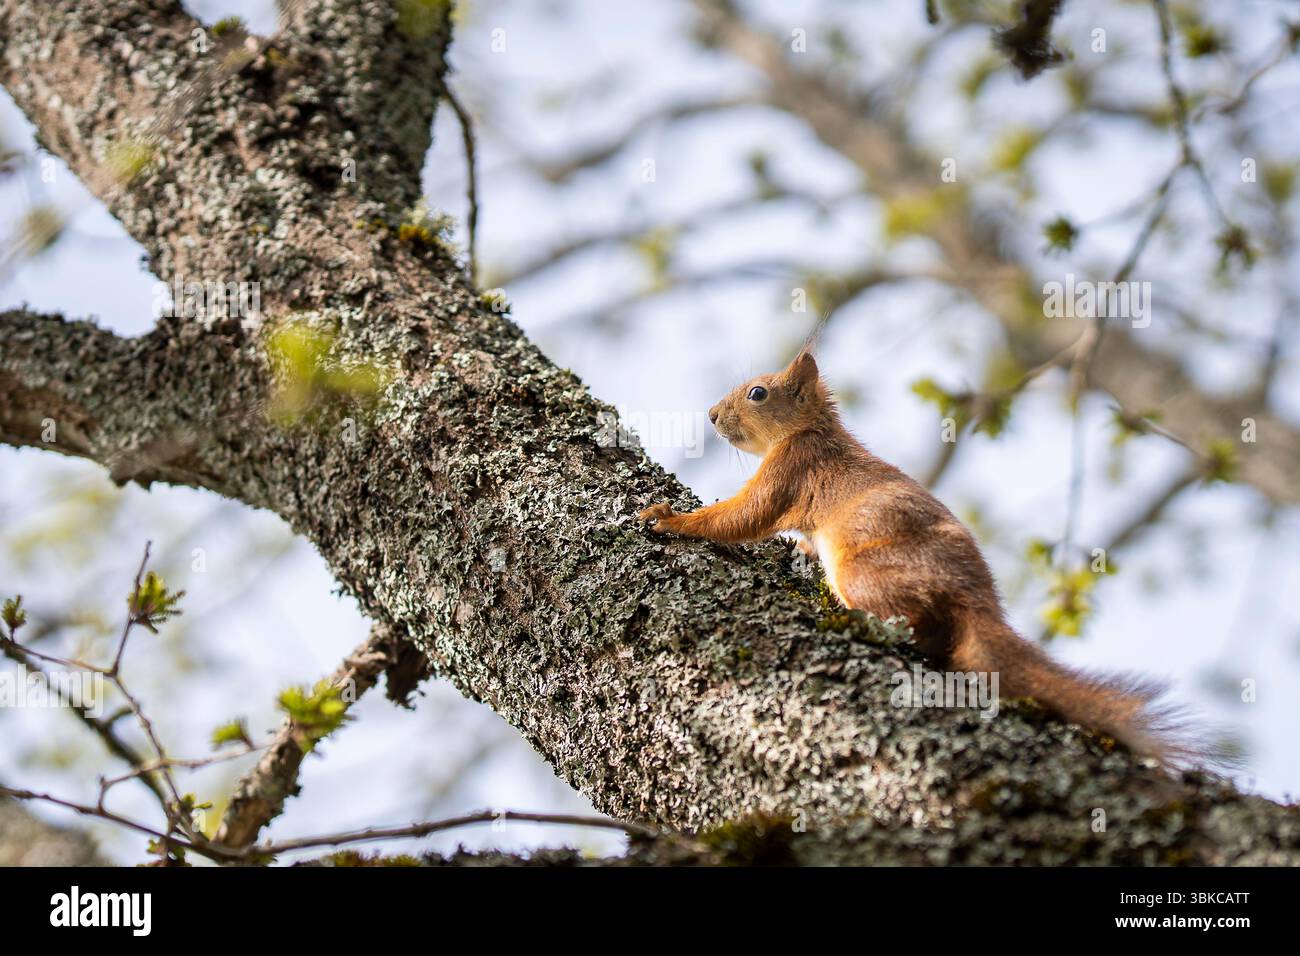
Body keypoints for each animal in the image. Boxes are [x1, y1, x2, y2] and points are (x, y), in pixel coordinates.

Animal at [640, 347, 1201, 767]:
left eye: (758, 392)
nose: (712, 415)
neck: (809, 430)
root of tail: (977, 601)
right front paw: (797, 546)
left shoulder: (794, 469)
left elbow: (744, 516)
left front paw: (671, 519)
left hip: (866, 572)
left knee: (914, 623)